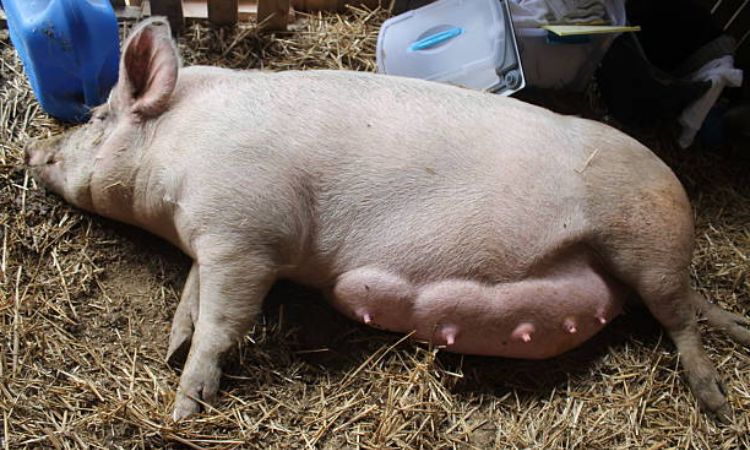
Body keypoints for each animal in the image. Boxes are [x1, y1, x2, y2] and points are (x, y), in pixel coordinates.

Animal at [25, 18, 750, 422]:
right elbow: (192, 297)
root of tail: (673, 186)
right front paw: (173, 346)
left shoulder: (247, 233)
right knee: (679, 308)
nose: (32, 151)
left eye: (98, 117)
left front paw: (182, 405)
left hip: (646, 235)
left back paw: (714, 401)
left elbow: (223, 321)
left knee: (680, 320)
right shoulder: (214, 238)